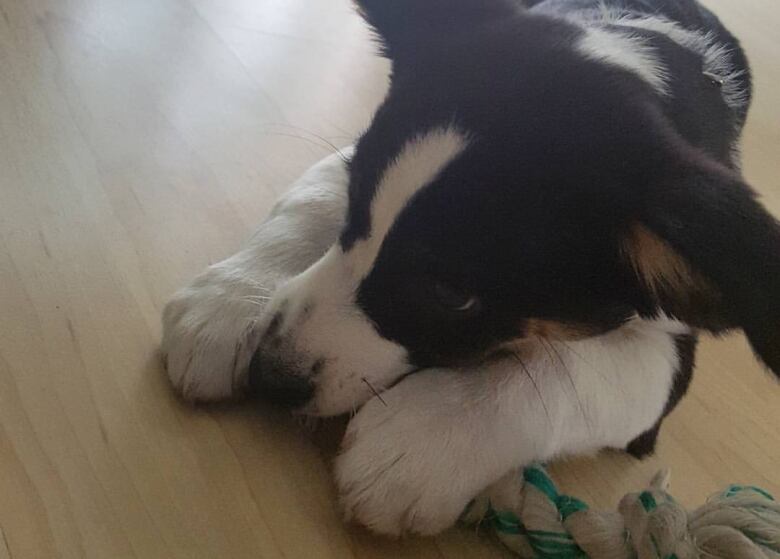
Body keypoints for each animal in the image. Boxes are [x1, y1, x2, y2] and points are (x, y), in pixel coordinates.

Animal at [160, 0, 780, 540]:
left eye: (451, 294)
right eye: (356, 201)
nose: (271, 375)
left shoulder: (669, 352)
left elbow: (567, 371)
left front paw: (423, 441)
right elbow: (312, 200)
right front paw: (229, 301)